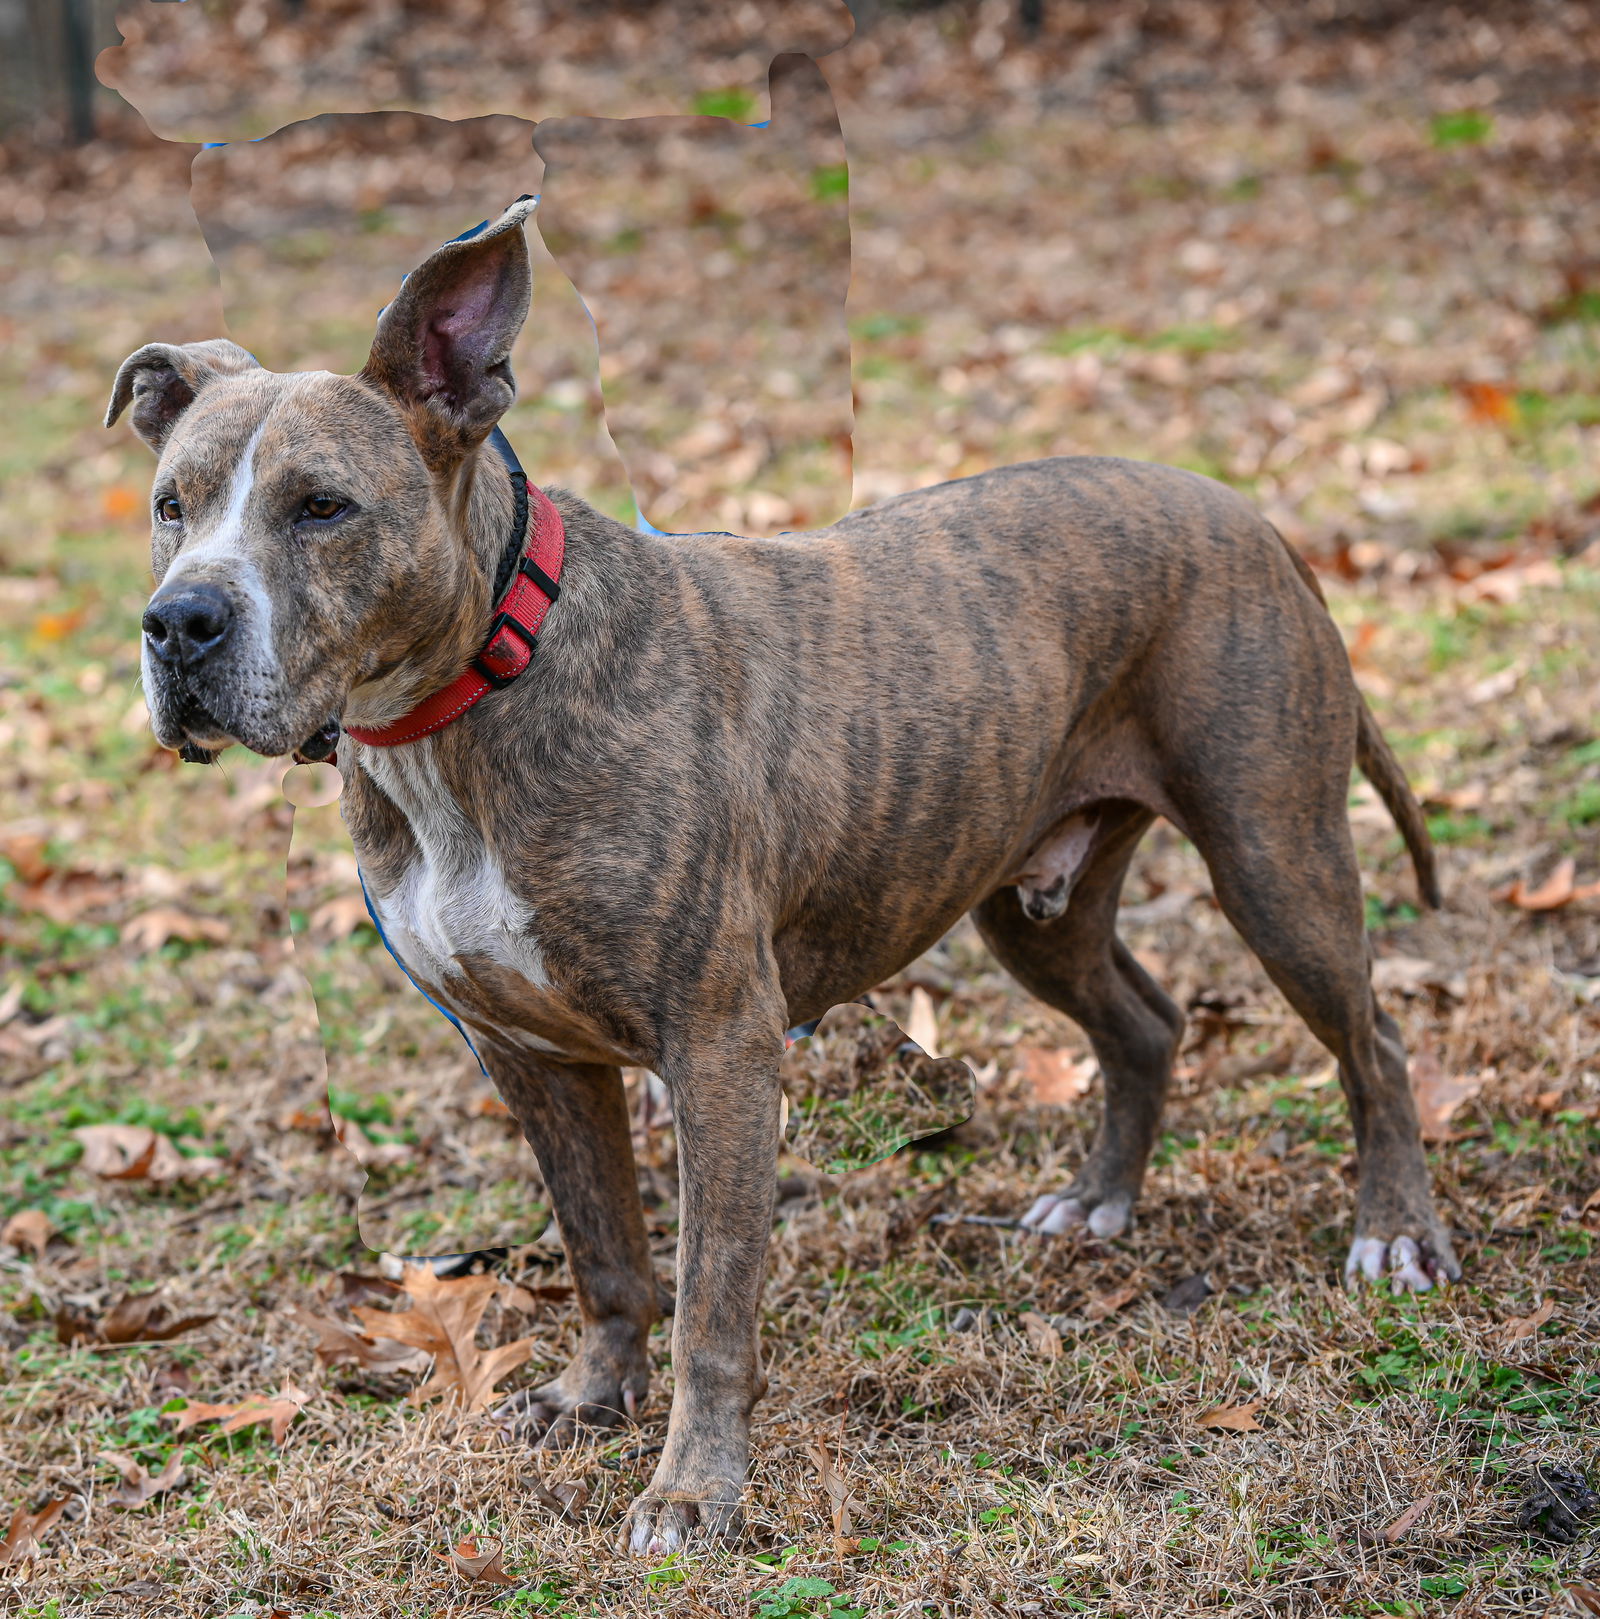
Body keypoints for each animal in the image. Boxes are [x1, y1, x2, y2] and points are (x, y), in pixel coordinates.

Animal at [109, 195, 1463, 1547]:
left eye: (321, 507)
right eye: (172, 505)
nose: (179, 621)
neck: (470, 698)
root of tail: (1249, 514)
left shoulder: (720, 1044)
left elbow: (711, 1297)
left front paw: (690, 1488)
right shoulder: (532, 1055)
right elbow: (605, 1252)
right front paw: (591, 1397)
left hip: (1273, 857)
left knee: (1376, 1038)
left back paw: (1394, 1235)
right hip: (1032, 901)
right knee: (1146, 1019)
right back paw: (1095, 1201)